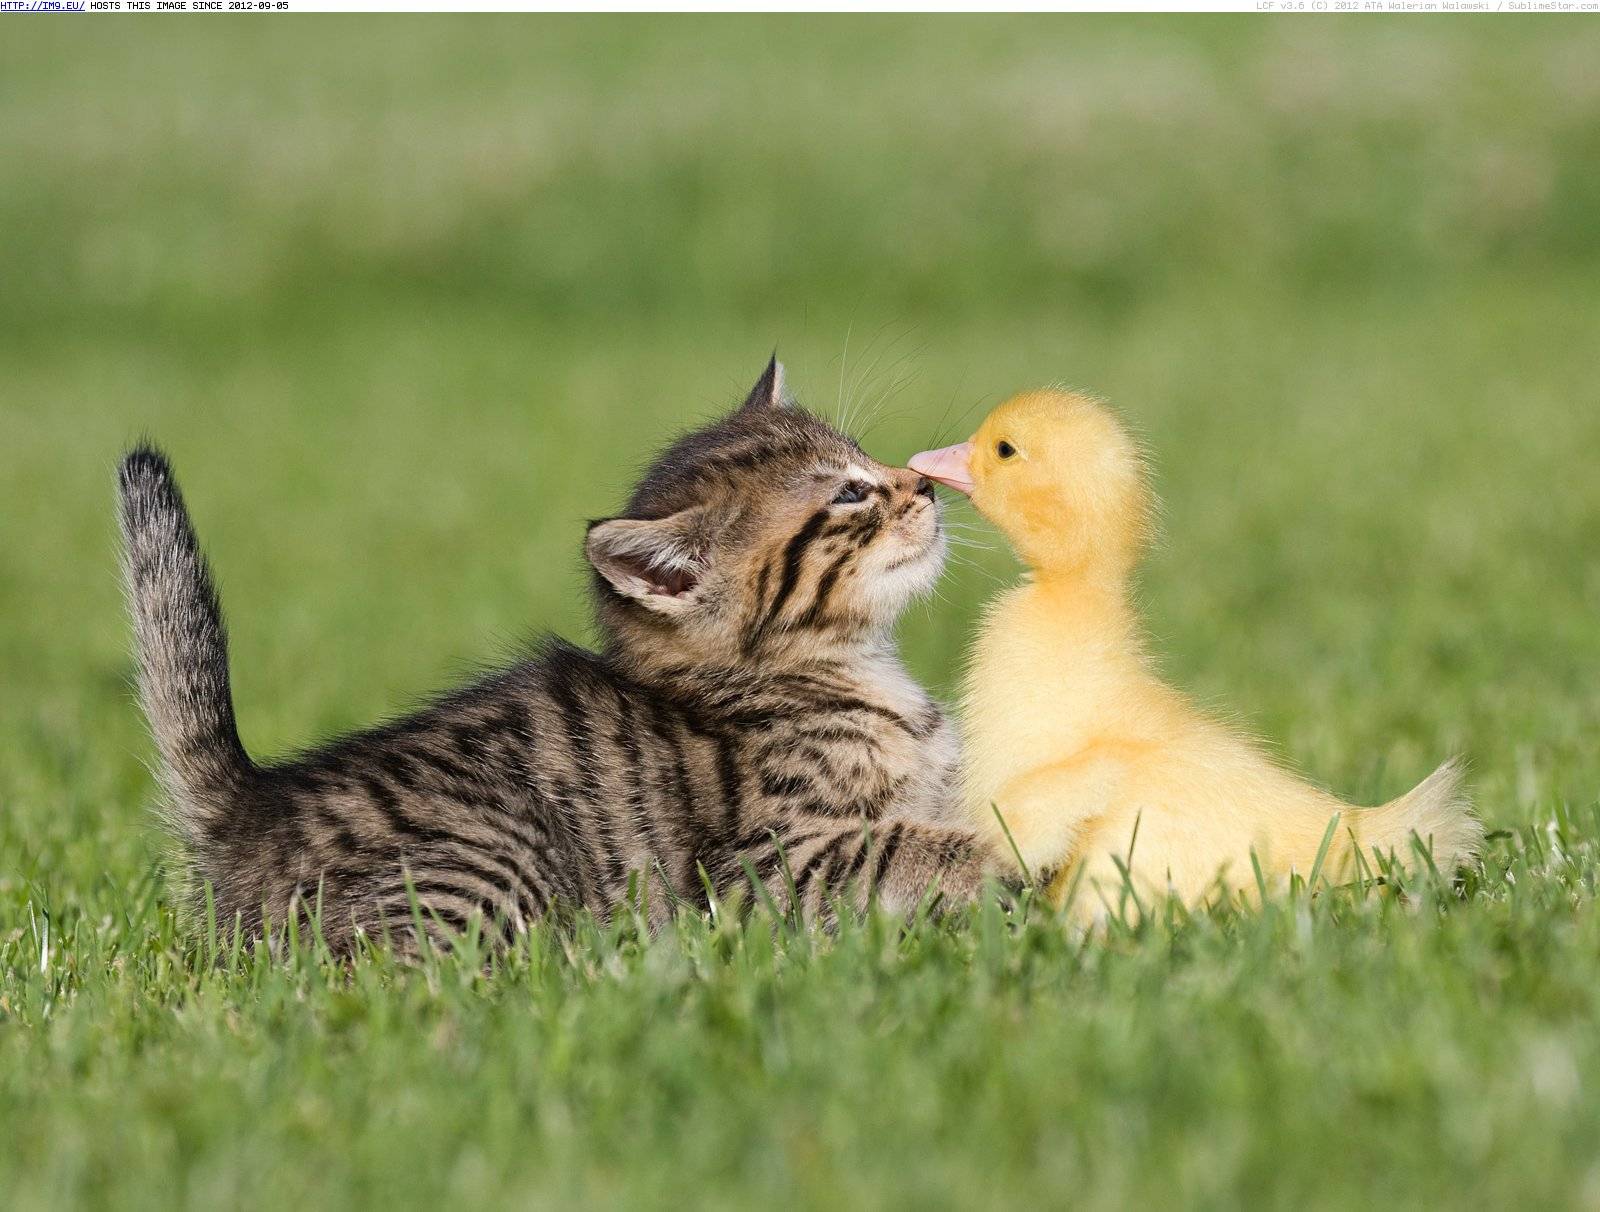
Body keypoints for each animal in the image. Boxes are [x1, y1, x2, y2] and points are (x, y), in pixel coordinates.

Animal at [124, 361, 992, 959]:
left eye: (868, 458)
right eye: (849, 495)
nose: (924, 484)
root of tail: (253, 807)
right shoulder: (764, 867)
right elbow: (915, 844)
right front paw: (1010, 867)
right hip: (493, 854)